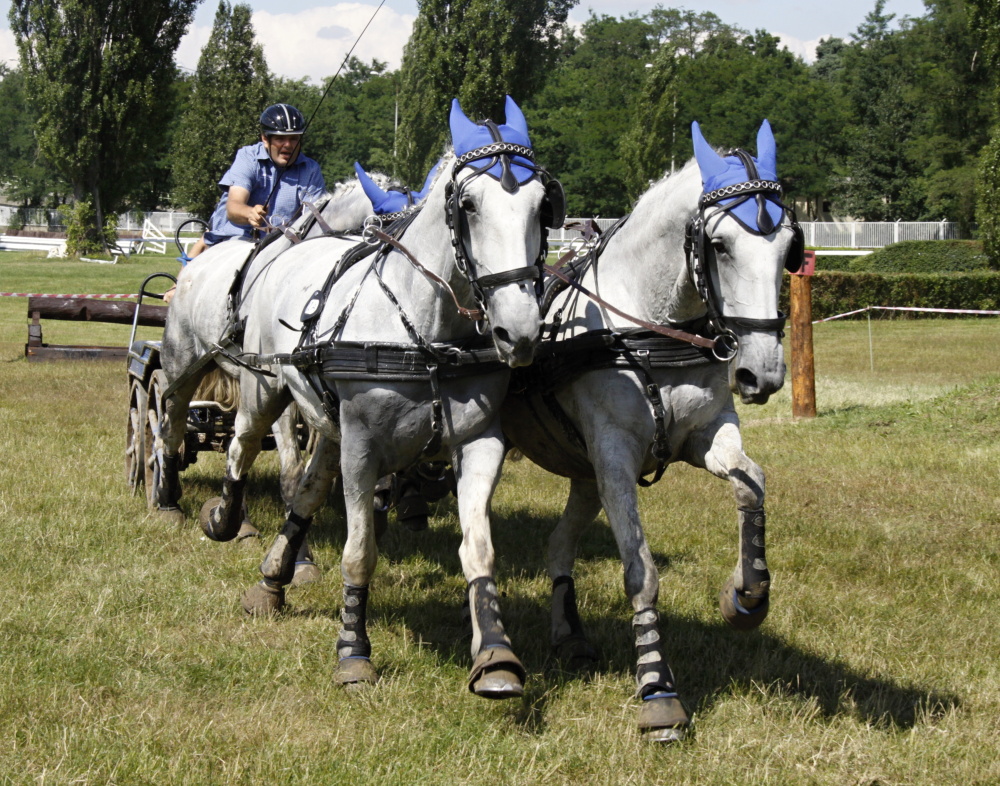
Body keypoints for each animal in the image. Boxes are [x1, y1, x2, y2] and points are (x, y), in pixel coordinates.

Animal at [203, 96, 564, 700]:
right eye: (468, 205)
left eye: (543, 205)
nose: (519, 332)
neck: (425, 330)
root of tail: (291, 245)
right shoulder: (363, 448)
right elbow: (359, 553)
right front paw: (354, 650)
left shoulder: (478, 441)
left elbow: (478, 547)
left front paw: (495, 653)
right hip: (266, 390)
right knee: (241, 447)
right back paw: (226, 519)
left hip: (329, 424)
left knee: (305, 493)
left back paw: (273, 580)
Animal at [500, 121, 804, 740]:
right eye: (719, 245)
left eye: (790, 248)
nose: (760, 372)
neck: (650, 327)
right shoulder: (615, 455)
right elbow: (641, 572)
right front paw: (658, 691)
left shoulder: (706, 433)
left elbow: (752, 482)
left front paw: (747, 594)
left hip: (583, 469)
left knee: (558, 545)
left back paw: (570, 632)